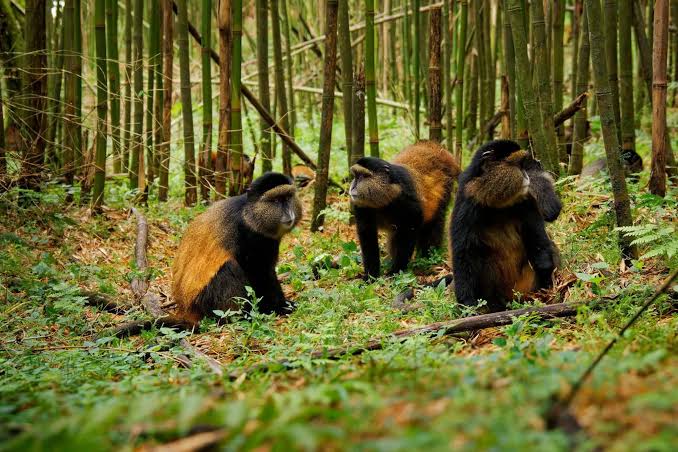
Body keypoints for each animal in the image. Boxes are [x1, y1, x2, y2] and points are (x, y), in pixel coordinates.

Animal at [349, 140, 461, 279]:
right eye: (355, 176)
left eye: (363, 176)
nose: (353, 186)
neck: (385, 198)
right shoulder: (361, 207)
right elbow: (367, 235)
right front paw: (371, 276)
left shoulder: (409, 205)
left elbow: (408, 234)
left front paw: (395, 271)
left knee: (433, 225)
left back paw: (426, 256)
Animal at [450, 140, 561, 311]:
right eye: (518, 165)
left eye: (524, 165)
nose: (527, 176)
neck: (497, 204)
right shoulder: (466, 203)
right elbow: (463, 252)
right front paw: (467, 303)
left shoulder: (527, 202)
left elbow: (537, 237)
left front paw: (546, 279)